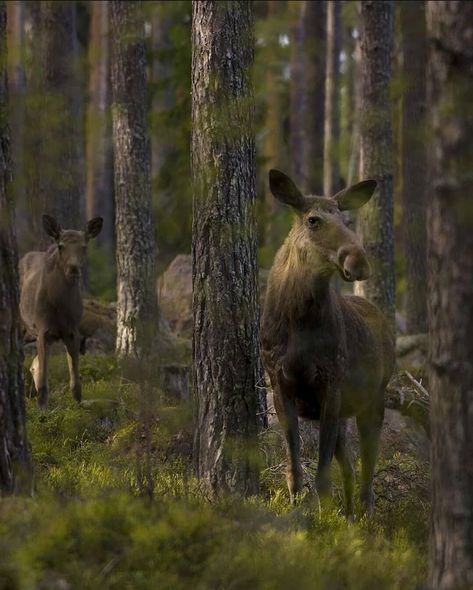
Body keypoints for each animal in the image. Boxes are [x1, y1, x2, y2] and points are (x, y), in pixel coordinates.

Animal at [19, 215, 103, 410]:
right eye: (60, 246)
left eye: (84, 246)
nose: (73, 268)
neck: (60, 307)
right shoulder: (43, 329)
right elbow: (44, 378)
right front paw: (42, 409)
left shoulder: (73, 331)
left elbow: (75, 379)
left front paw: (79, 405)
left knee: (33, 364)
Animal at [262, 171, 394, 520]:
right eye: (313, 220)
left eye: (347, 220)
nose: (358, 260)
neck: (298, 321)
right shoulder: (279, 382)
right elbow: (294, 468)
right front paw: (298, 507)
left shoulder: (330, 382)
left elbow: (322, 474)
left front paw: (319, 517)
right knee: (348, 466)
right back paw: (348, 516)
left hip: (373, 398)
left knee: (367, 471)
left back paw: (364, 516)